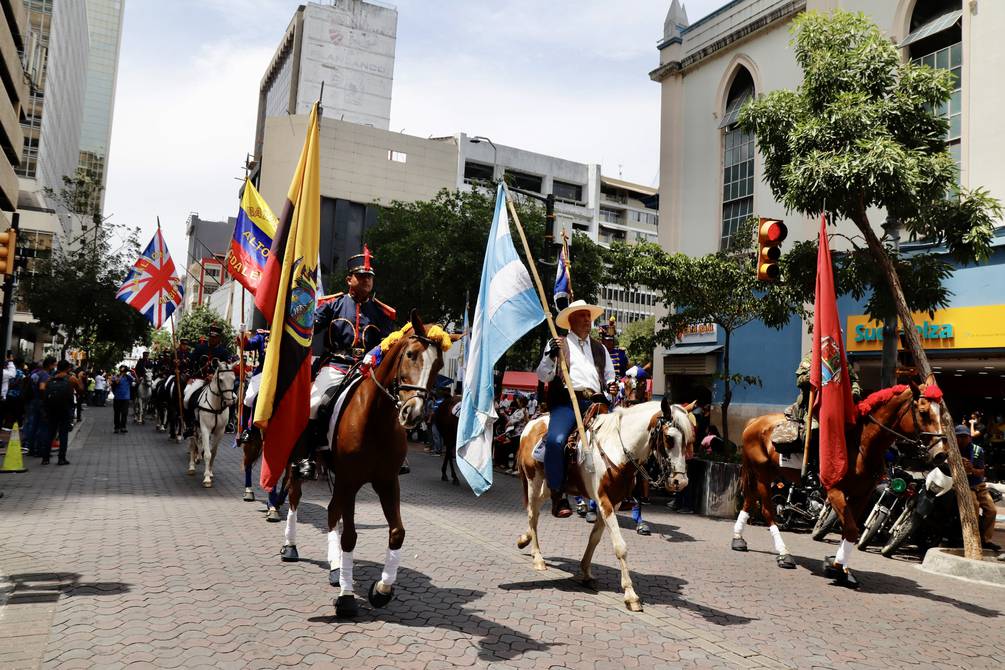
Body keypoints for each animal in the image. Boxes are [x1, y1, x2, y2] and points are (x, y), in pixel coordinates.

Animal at [271, 313, 452, 618]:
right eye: (411, 355)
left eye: (438, 365)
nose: (413, 414)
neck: (375, 419)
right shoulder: (351, 480)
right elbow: (350, 536)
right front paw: (346, 598)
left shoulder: (386, 481)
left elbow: (397, 533)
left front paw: (382, 590)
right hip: (298, 462)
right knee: (295, 498)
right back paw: (291, 546)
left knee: (332, 512)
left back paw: (335, 568)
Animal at [514, 397, 695, 614]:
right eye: (669, 438)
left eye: (688, 441)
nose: (680, 482)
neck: (617, 450)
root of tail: (531, 424)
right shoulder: (603, 500)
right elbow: (620, 546)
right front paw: (631, 595)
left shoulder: (613, 503)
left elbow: (595, 538)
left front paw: (585, 572)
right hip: (533, 481)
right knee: (532, 514)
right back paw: (538, 558)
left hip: (548, 486)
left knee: (536, 512)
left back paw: (525, 539)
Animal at [731, 381, 940, 586]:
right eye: (923, 411)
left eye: (942, 411)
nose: (940, 452)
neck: (860, 444)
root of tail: (754, 422)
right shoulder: (834, 490)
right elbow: (850, 529)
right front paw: (836, 566)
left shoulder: (861, 494)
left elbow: (849, 531)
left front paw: (841, 567)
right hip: (762, 475)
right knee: (767, 511)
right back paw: (784, 554)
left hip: (763, 473)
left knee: (748, 501)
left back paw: (738, 539)